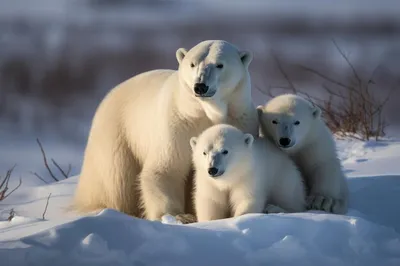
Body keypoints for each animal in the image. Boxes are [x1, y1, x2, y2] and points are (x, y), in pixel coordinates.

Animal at [72, 40, 260, 220]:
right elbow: (166, 168)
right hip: (117, 133)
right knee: (116, 182)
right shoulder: (179, 123)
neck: (207, 111)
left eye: (219, 64)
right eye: (192, 64)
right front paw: (179, 216)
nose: (200, 86)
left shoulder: (239, 118)